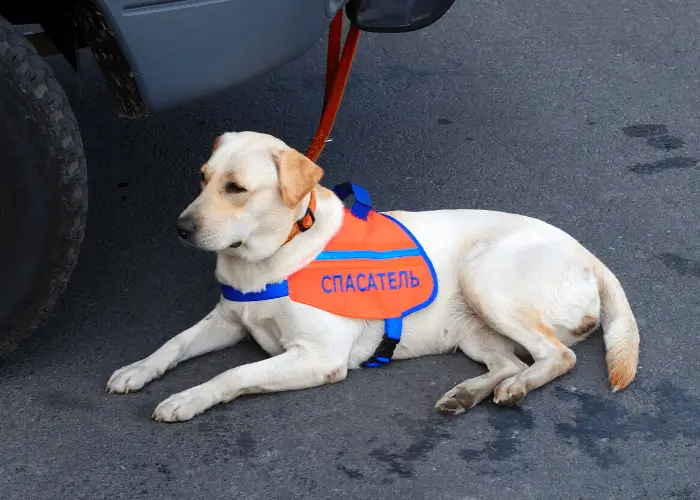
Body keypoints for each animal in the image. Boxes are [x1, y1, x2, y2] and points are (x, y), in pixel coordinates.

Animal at [108, 131, 640, 420]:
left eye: (236, 188)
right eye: (202, 178)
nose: (180, 228)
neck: (273, 255)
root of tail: (589, 255)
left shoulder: (318, 356)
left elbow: (233, 373)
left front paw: (188, 398)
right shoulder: (227, 320)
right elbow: (173, 344)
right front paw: (139, 369)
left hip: (484, 277)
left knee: (559, 356)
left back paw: (515, 389)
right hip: (473, 327)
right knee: (510, 361)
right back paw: (467, 394)